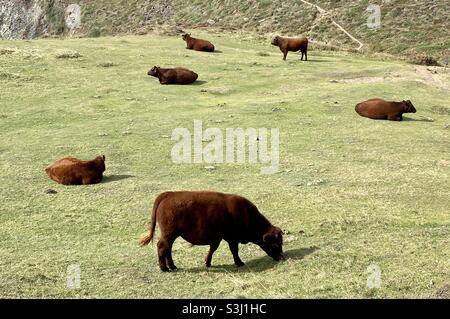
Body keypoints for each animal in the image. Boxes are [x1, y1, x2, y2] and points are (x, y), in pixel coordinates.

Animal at [139, 191, 284, 274]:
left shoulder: (218, 238)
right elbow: (234, 251)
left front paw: (207, 263)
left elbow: (212, 249)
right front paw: (239, 263)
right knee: (162, 247)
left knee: (167, 248)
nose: (282, 257)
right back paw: (164, 269)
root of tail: (168, 194)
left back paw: (173, 266)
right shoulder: (231, 238)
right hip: (169, 234)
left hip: (172, 235)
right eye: (275, 244)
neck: (246, 213)